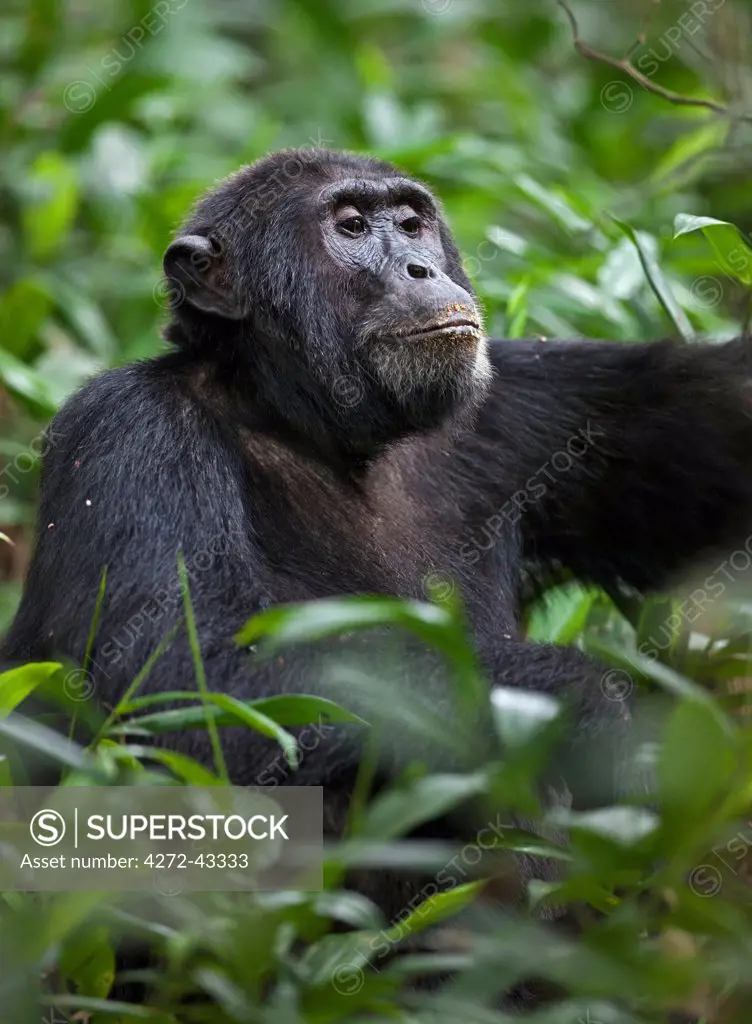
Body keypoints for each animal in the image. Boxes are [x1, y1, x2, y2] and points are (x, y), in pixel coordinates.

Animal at [4, 144, 752, 1007]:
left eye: (411, 221)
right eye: (353, 227)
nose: (422, 268)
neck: (315, 427)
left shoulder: (533, 403)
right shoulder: (127, 432)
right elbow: (174, 681)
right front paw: (586, 702)